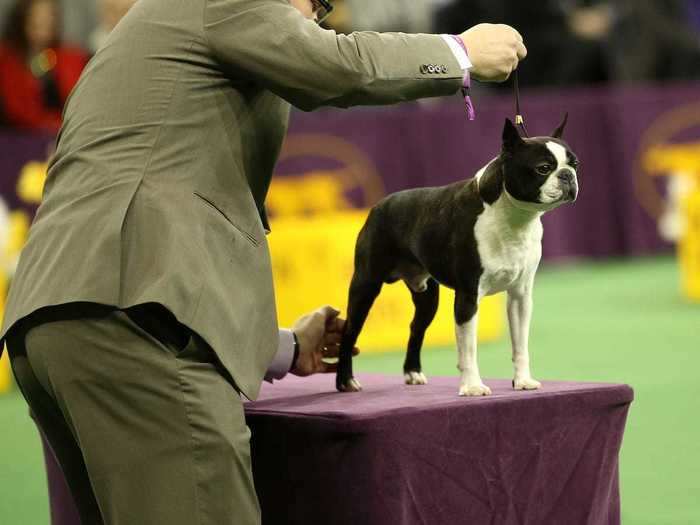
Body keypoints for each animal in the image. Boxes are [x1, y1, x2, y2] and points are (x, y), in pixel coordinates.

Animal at [336, 115, 576, 392]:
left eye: (575, 164)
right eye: (543, 168)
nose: (568, 175)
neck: (514, 217)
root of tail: (379, 206)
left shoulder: (520, 296)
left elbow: (520, 346)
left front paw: (523, 381)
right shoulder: (468, 296)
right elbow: (468, 349)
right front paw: (472, 387)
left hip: (427, 296)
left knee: (416, 327)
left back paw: (413, 372)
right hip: (366, 284)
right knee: (350, 330)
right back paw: (345, 381)